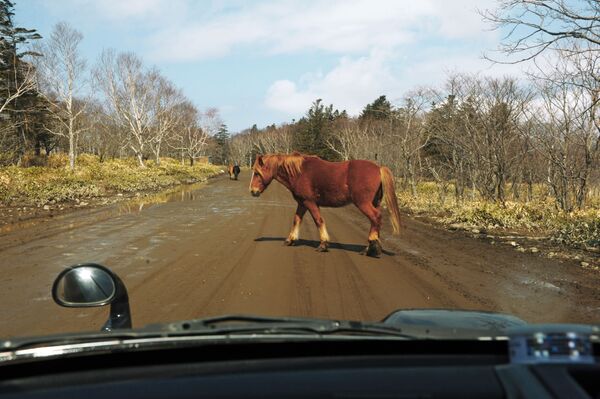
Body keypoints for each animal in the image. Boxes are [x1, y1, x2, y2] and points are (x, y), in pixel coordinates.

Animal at [246, 152, 400, 258]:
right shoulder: (302, 203)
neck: (299, 172)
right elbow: (296, 220)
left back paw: (372, 247)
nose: (253, 191)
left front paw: (323, 244)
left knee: (376, 217)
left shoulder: (310, 202)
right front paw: (290, 239)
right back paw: (371, 248)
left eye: (257, 173)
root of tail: (378, 168)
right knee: (375, 222)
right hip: (375, 202)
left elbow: (318, 220)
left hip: (363, 203)